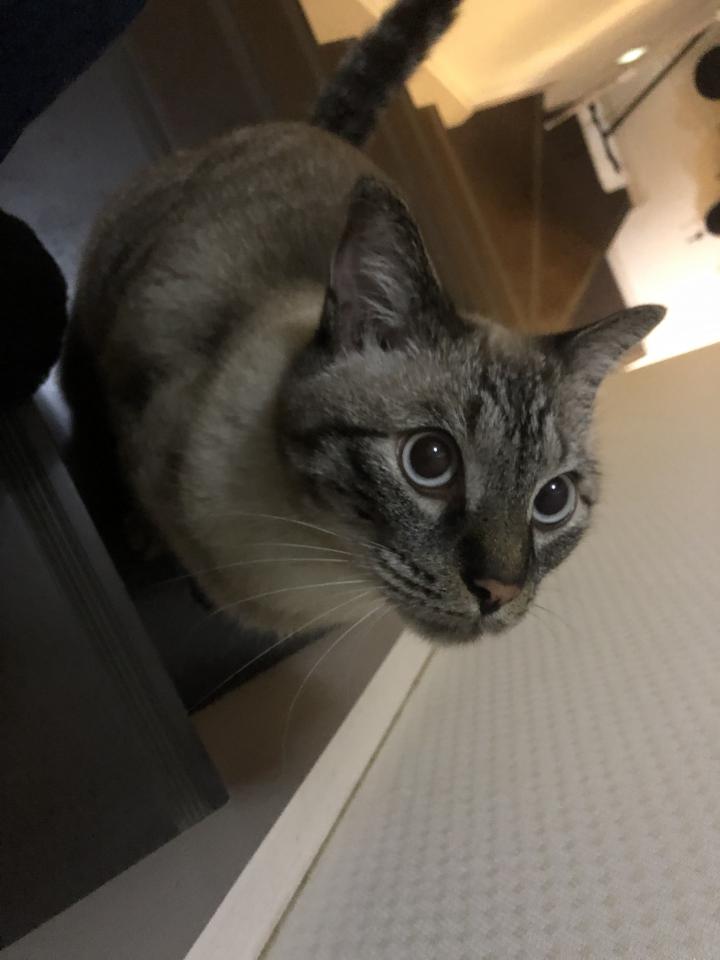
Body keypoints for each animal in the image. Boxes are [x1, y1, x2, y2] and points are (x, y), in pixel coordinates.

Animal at [61, 0, 665, 644]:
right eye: (430, 460)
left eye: (552, 500)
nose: (498, 592)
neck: (323, 562)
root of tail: (318, 130)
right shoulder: (142, 422)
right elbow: (144, 502)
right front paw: (145, 538)